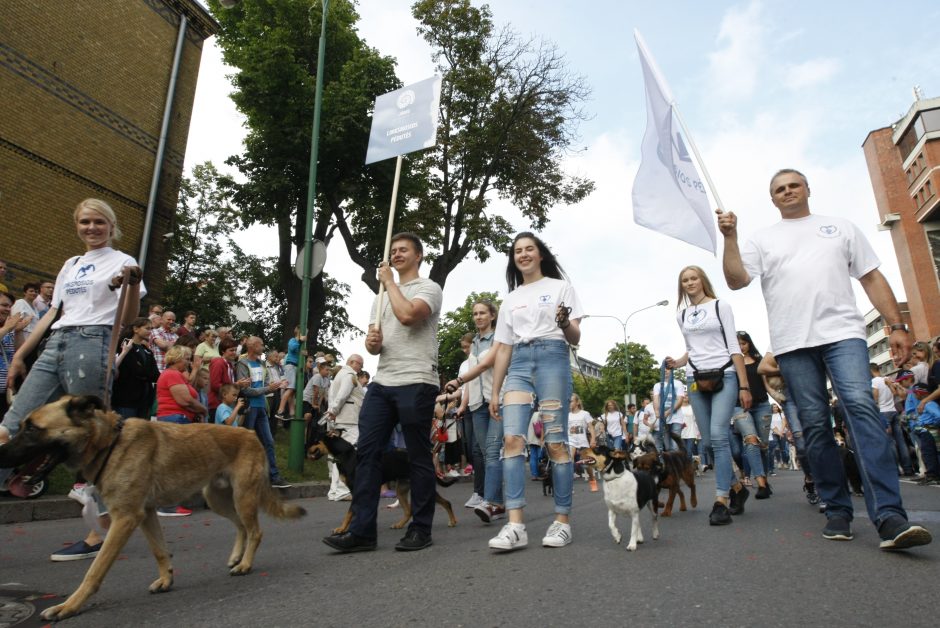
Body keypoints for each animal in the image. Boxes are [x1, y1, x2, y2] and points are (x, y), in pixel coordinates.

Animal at [0, 394, 304, 620]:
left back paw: (245, 564)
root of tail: (250, 433)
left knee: (256, 531)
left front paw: (69, 606)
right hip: (219, 499)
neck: (109, 443)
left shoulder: (125, 518)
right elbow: (159, 551)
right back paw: (236, 558)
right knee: (242, 526)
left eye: (31, 428)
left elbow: (94, 570)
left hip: (242, 497)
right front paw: (166, 580)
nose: (0, 453)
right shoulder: (145, 514)